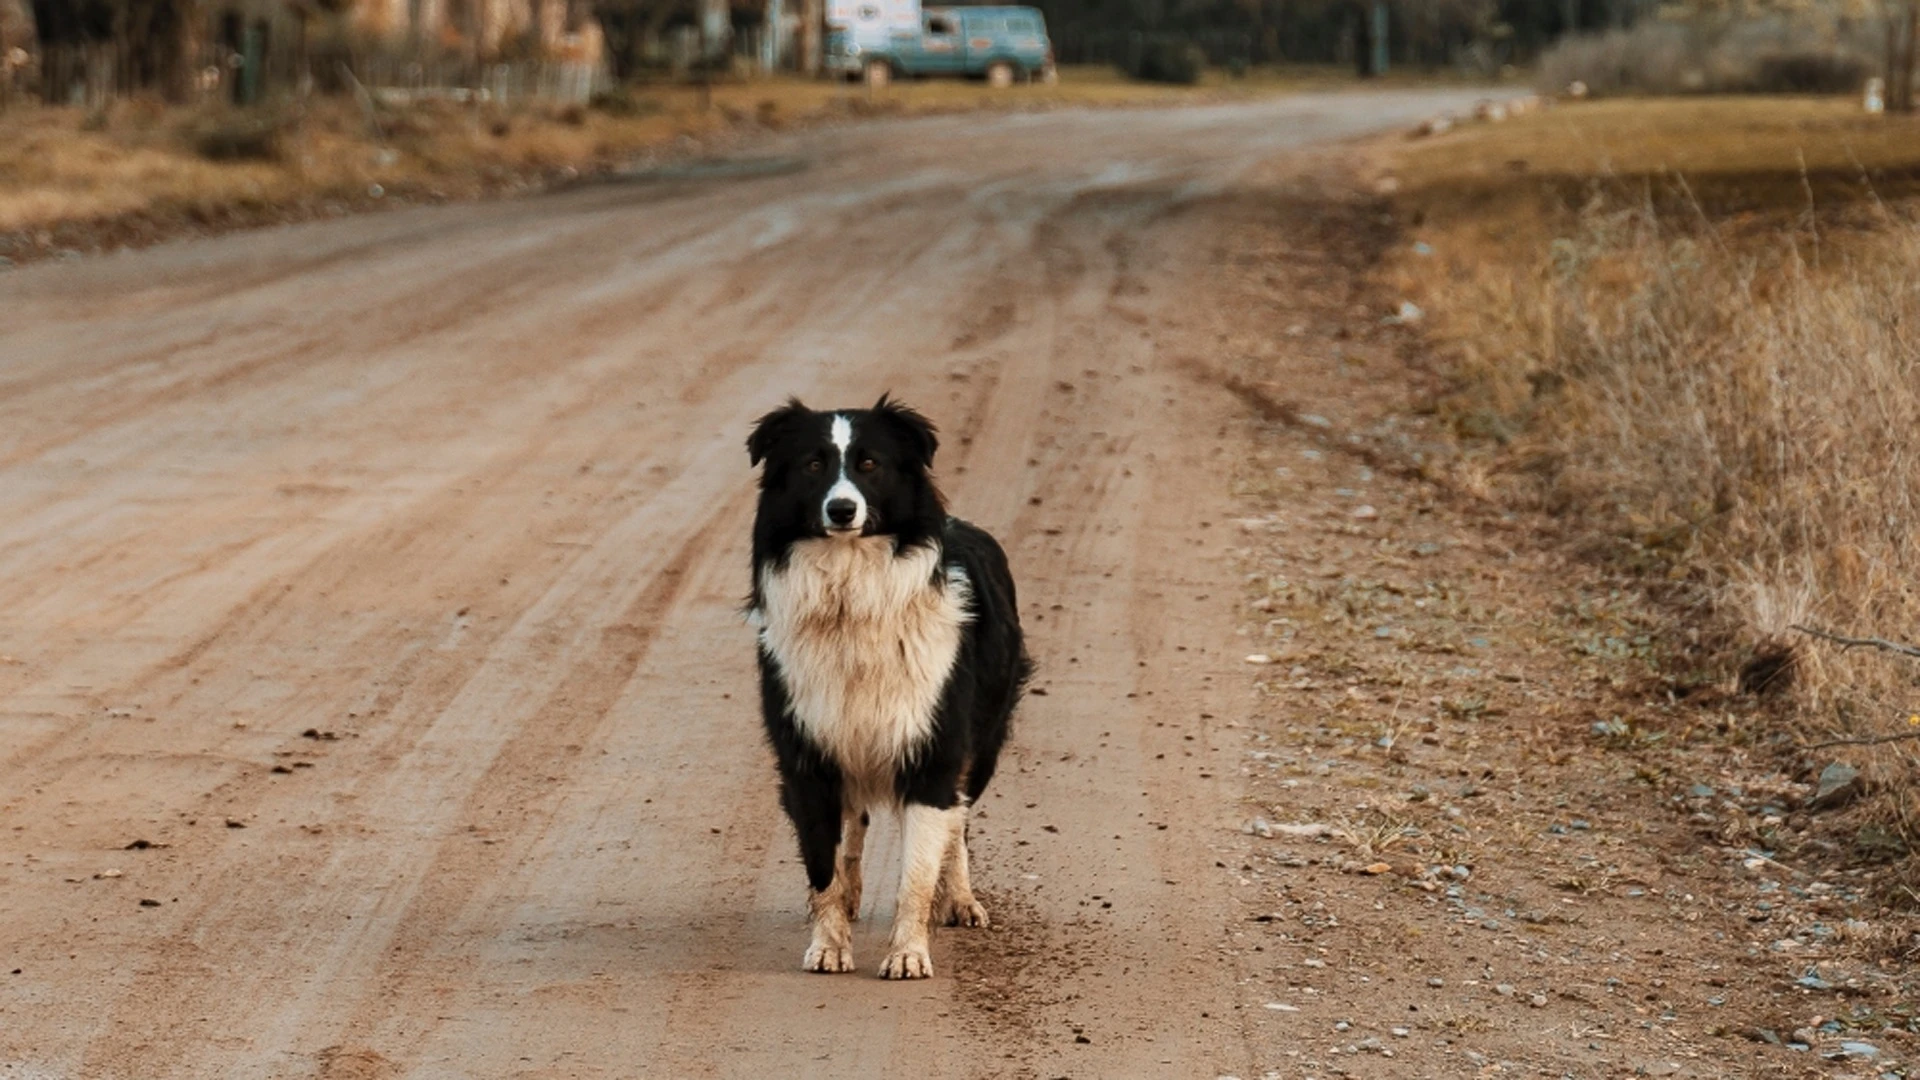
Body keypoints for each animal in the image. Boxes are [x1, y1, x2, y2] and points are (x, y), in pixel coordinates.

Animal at [744, 395, 1036, 976]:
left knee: (958, 820)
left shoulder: (932, 746)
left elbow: (917, 872)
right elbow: (824, 864)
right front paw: (829, 944)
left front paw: (907, 954)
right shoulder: (808, 747)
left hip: (982, 741)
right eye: (814, 465)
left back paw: (961, 900)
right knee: (855, 826)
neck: (851, 595)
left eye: (869, 464)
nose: (841, 511)